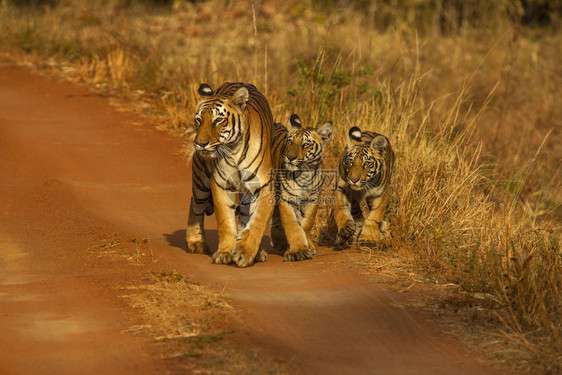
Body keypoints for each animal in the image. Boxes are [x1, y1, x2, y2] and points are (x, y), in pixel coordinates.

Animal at [186, 82, 274, 268]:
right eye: (198, 120)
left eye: (218, 120)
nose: (200, 144)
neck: (234, 150)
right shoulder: (221, 183)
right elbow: (225, 221)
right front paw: (225, 252)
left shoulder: (264, 185)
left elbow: (258, 220)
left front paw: (244, 252)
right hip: (201, 179)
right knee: (195, 203)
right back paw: (196, 242)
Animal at [270, 114, 330, 262]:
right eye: (290, 141)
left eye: (306, 144)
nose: (290, 157)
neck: (304, 175)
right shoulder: (286, 199)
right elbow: (292, 225)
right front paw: (298, 251)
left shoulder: (313, 199)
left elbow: (307, 223)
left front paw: (309, 246)